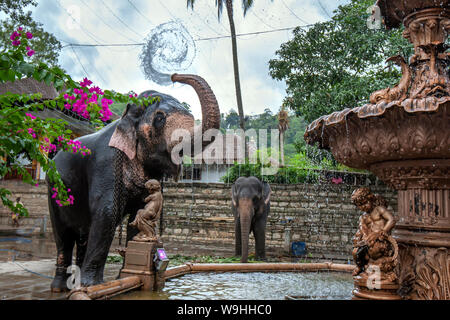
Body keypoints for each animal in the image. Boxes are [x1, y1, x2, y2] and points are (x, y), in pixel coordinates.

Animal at [47, 74, 220, 292]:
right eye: (160, 118)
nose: (174, 77)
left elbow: (140, 210)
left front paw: (127, 277)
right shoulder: (106, 163)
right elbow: (107, 213)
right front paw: (93, 286)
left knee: (83, 234)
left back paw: (75, 285)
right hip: (53, 190)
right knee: (64, 236)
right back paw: (62, 288)